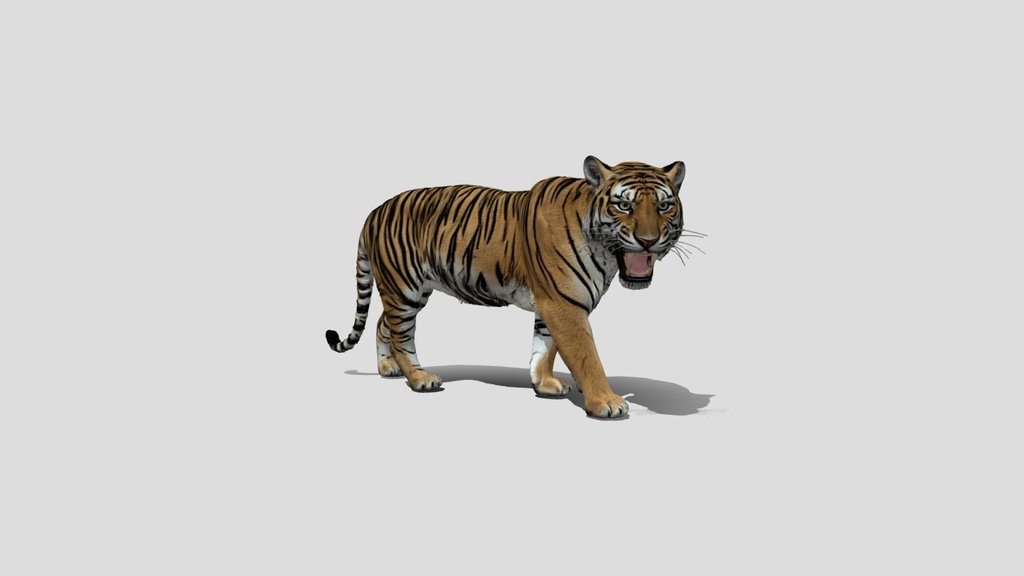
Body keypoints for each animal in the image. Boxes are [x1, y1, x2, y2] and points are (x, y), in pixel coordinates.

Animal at [325, 156, 693, 418]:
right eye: (623, 205)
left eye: (664, 205)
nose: (648, 240)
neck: (606, 255)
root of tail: (374, 211)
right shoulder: (564, 305)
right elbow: (586, 356)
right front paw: (606, 402)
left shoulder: (551, 304)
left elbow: (545, 347)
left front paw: (544, 383)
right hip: (404, 288)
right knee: (402, 335)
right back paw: (419, 378)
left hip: (408, 291)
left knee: (381, 322)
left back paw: (387, 368)